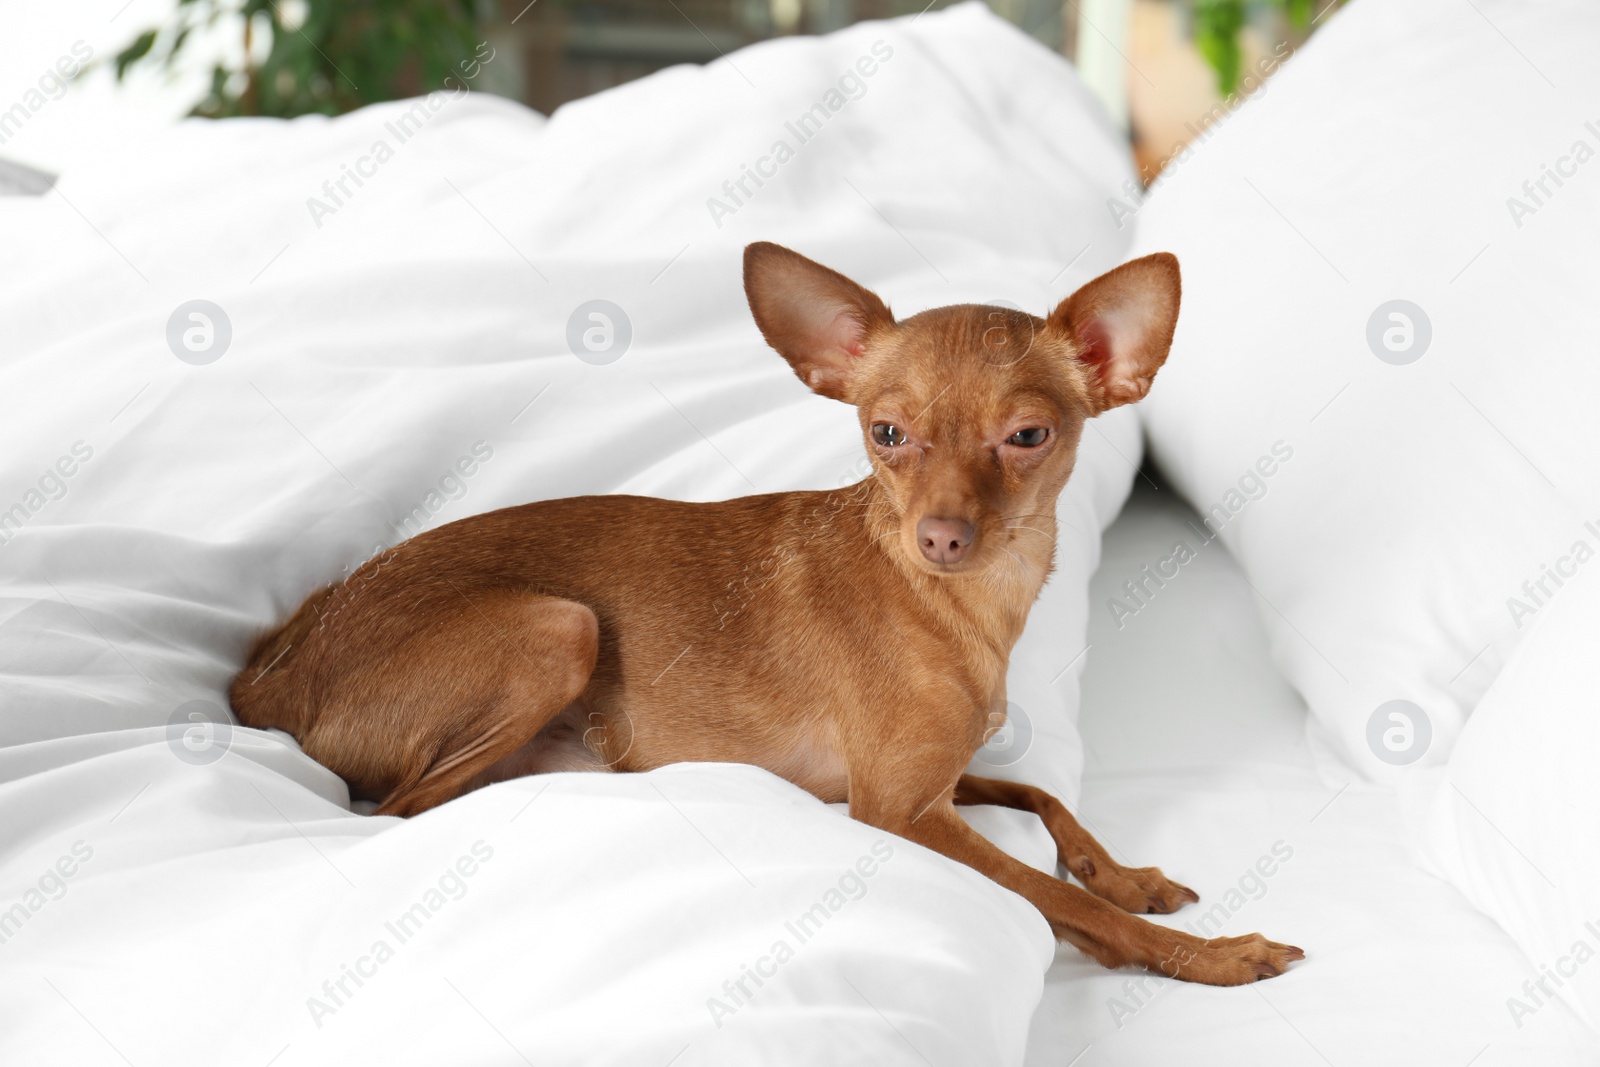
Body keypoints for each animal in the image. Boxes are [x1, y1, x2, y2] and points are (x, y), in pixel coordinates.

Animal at [233, 241, 1299, 985]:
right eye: (886, 434)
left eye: (1028, 436)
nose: (942, 536)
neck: (959, 606)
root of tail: (271, 667)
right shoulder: (896, 809)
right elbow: (1046, 892)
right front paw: (1208, 954)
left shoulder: (923, 784)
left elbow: (1044, 796)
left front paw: (1129, 876)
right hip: (558, 629)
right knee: (396, 811)